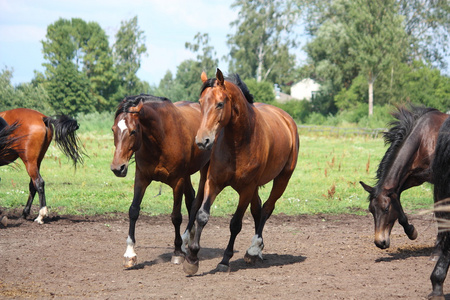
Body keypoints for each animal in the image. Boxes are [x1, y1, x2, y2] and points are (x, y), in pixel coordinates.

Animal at [111, 93, 212, 268]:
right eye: (113, 129)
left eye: (133, 131)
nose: (118, 168)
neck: (161, 137)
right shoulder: (141, 178)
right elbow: (133, 211)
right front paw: (130, 254)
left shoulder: (177, 181)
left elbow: (176, 216)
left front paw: (177, 252)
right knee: (191, 199)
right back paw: (189, 237)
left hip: (203, 170)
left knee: (195, 202)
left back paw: (185, 241)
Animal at [360, 106, 448, 250]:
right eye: (371, 210)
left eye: (386, 209)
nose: (380, 242)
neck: (424, 139)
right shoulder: (410, 178)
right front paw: (411, 231)